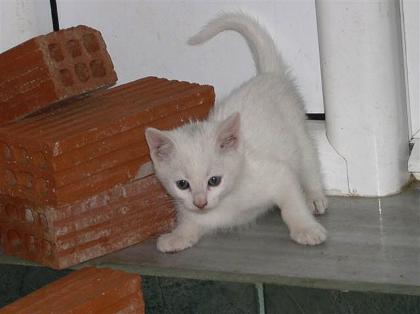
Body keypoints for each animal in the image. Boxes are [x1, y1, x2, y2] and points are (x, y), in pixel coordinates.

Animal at [145, 12, 328, 253]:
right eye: (182, 184)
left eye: (214, 180)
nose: (200, 203)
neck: (226, 201)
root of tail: (268, 74)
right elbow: (190, 223)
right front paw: (177, 237)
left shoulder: (278, 174)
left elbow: (292, 204)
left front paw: (306, 229)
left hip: (298, 130)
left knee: (309, 162)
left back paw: (315, 196)